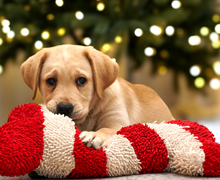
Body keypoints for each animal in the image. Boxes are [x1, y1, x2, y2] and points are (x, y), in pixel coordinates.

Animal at [21, 44, 174, 149]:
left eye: (81, 80)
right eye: (51, 81)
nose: (64, 108)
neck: (90, 113)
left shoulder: (119, 122)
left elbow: (107, 129)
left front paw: (95, 135)